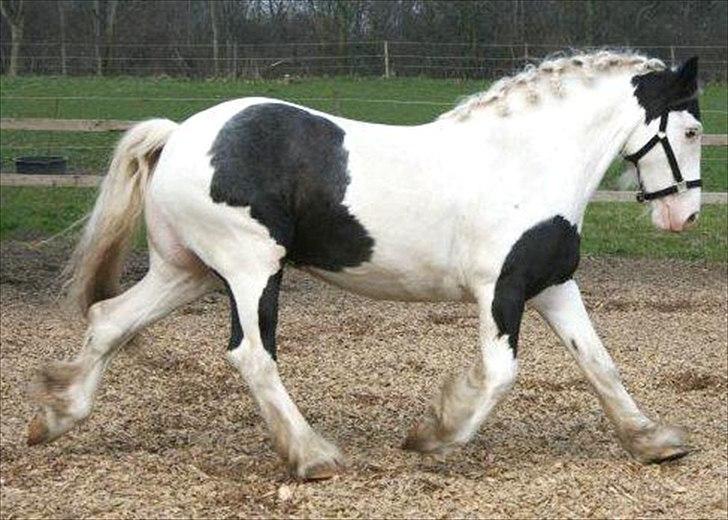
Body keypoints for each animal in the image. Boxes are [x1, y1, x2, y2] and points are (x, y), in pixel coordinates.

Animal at [29, 51, 704, 480]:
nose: (686, 215)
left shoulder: (553, 286)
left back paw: (55, 417)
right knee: (251, 355)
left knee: (110, 319)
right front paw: (434, 434)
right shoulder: (501, 289)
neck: (526, 159)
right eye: (694, 129)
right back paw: (313, 457)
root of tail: (179, 134)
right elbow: (498, 375)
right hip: (250, 270)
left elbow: (600, 363)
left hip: (185, 271)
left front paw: (654, 442)